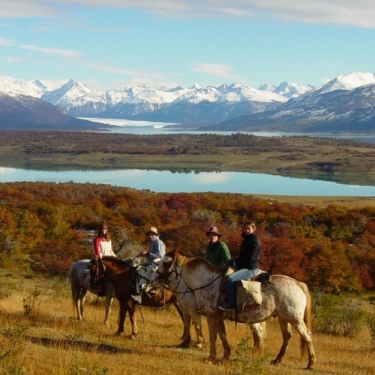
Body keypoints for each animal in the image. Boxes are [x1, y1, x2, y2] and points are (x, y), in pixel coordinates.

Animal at [151, 250, 316, 370]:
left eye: (166, 262)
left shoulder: (210, 316)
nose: (153, 280)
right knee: (287, 336)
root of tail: (298, 283)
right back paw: (277, 359)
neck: (206, 282)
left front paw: (211, 357)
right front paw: (225, 355)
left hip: (295, 319)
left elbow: (213, 336)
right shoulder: (217, 317)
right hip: (283, 317)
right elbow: (222, 335)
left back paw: (311, 363)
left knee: (307, 335)